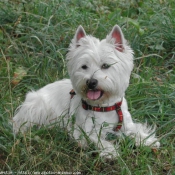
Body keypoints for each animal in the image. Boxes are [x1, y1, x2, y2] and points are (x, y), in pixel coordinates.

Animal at [12, 25, 160, 159]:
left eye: (105, 65)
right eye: (84, 66)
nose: (91, 82)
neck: (104, 106)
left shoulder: (126, 123)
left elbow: (134, 130)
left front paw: (147, 140)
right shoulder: (83, 130)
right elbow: (97, 139)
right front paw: (111, 151)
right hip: (37, 107)